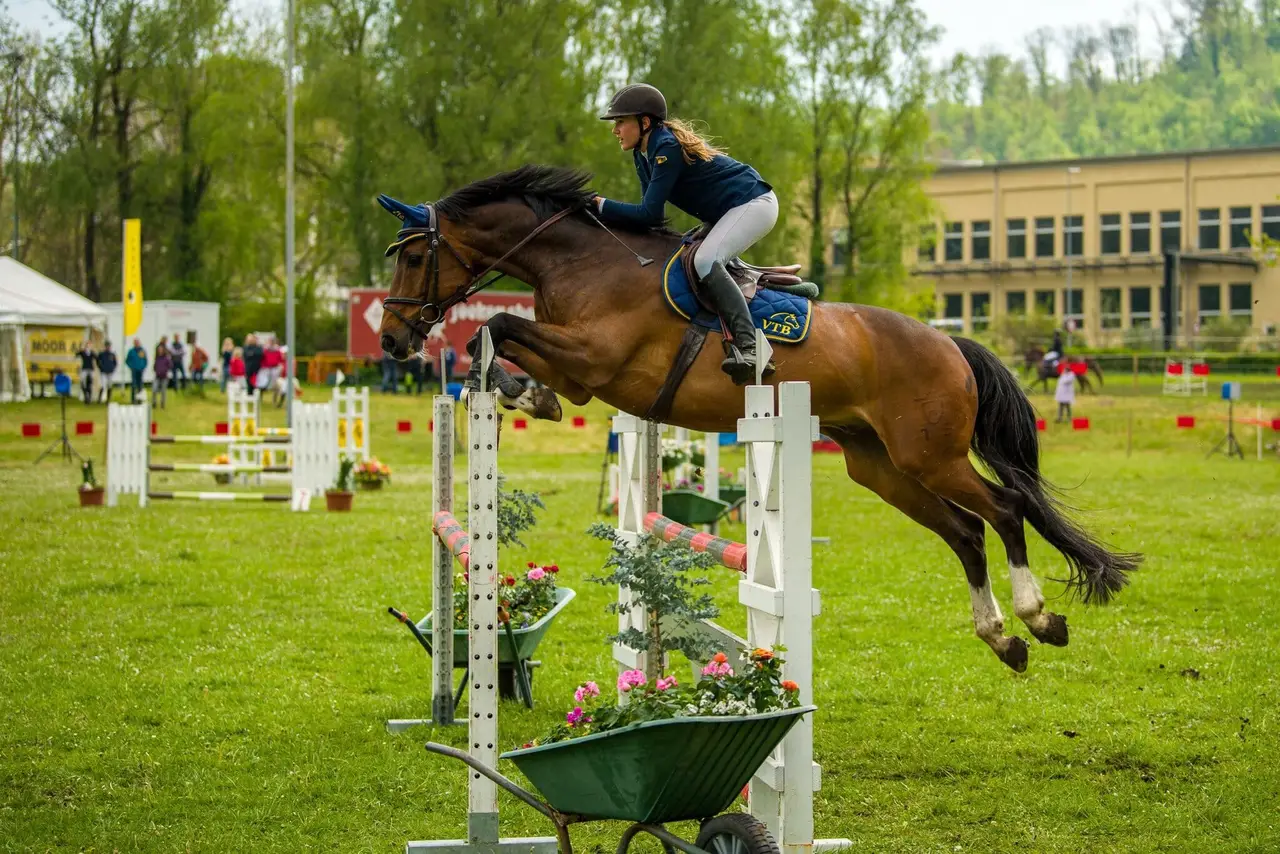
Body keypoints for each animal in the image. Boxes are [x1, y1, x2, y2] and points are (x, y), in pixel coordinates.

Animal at [377, 165, 1141, 673]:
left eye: (414, 255)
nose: (390, 340)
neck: (584, 262)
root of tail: (949, 342)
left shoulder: (598, 358)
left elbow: (500, 324)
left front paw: (513, 386)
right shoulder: (586, 372)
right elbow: (508, 342)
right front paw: (524, 394)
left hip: (931, 455)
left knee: (1005, 509)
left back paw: (1038, 618)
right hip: (880, 466)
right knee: (965, 532)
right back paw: (1003, 638)